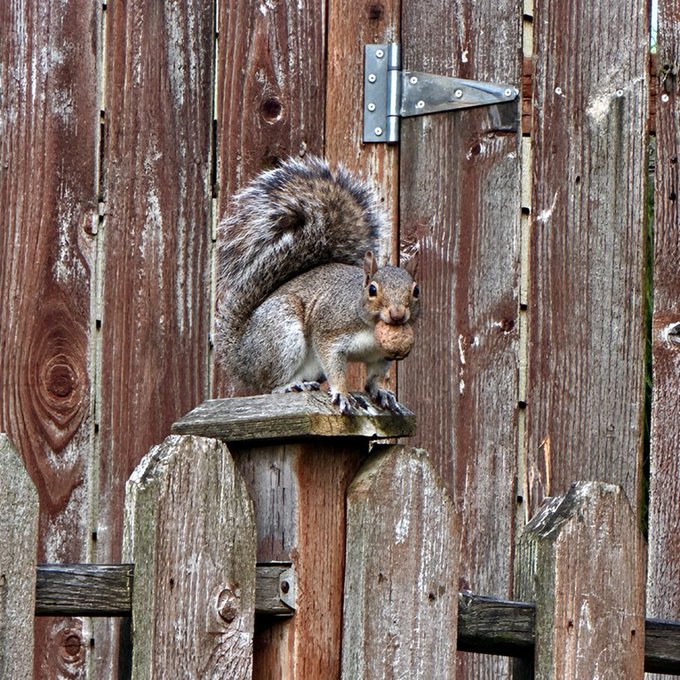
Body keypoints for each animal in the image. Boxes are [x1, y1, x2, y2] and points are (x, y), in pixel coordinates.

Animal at [215, 155, 419, 415]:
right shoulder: (330, 330)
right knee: (269, 384)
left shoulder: (381, 355)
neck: (370, 327)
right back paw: (289, 386)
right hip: (282, 332)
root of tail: (238, 354)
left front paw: (382, 392)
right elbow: (333, 363)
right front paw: (342, 393)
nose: (397, 314)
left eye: (416, 291)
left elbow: (375, 376)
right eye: (372, 290)